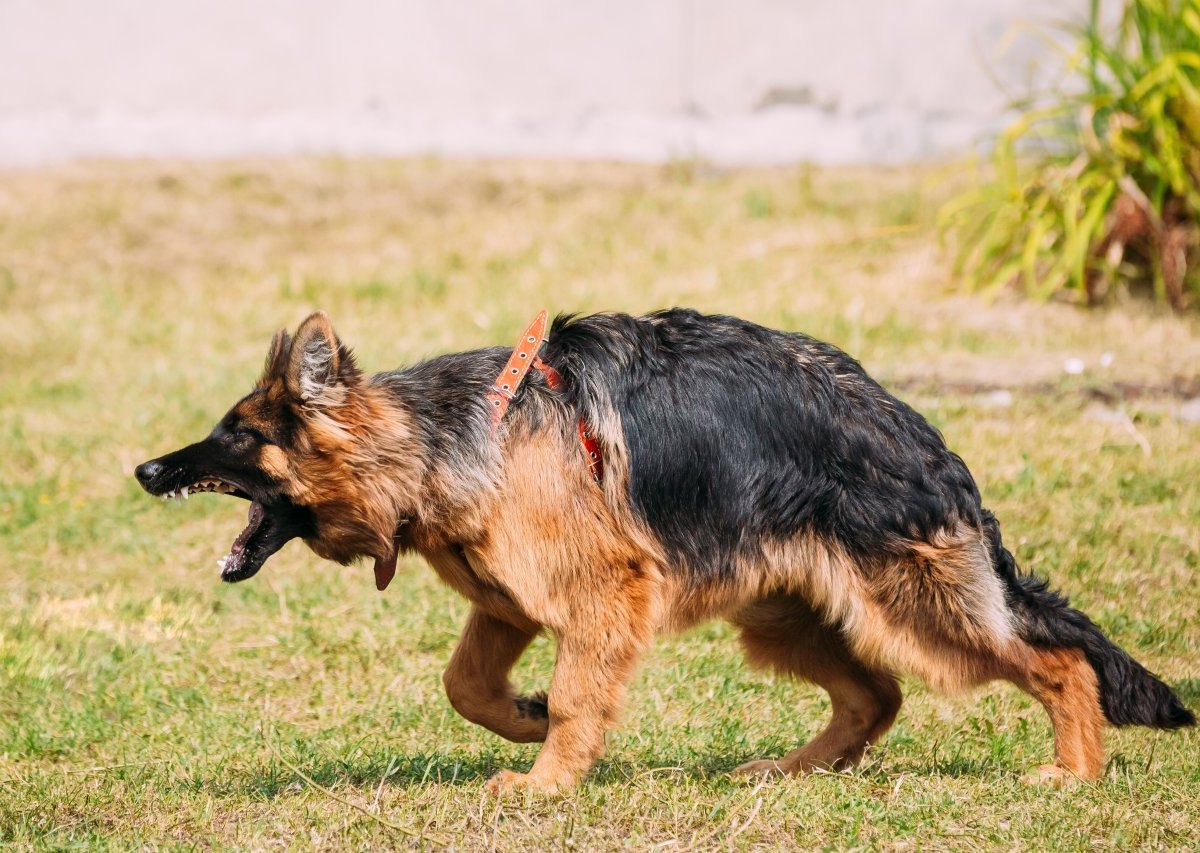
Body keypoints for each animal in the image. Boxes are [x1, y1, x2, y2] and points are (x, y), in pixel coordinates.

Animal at [136, 309, 1195, 791]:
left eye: (237, 434)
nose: (145, 470)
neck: (444, 440)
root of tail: (917, 433)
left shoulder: (599, 594)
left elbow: (574, 693)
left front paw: (546, 783)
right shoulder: (508, 600)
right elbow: (466, 684)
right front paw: (524, 722)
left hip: (910, 602)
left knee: (1054, 659)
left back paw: (1073, 770)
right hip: (780, 613)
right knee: (875, 693)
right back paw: (796, 769)